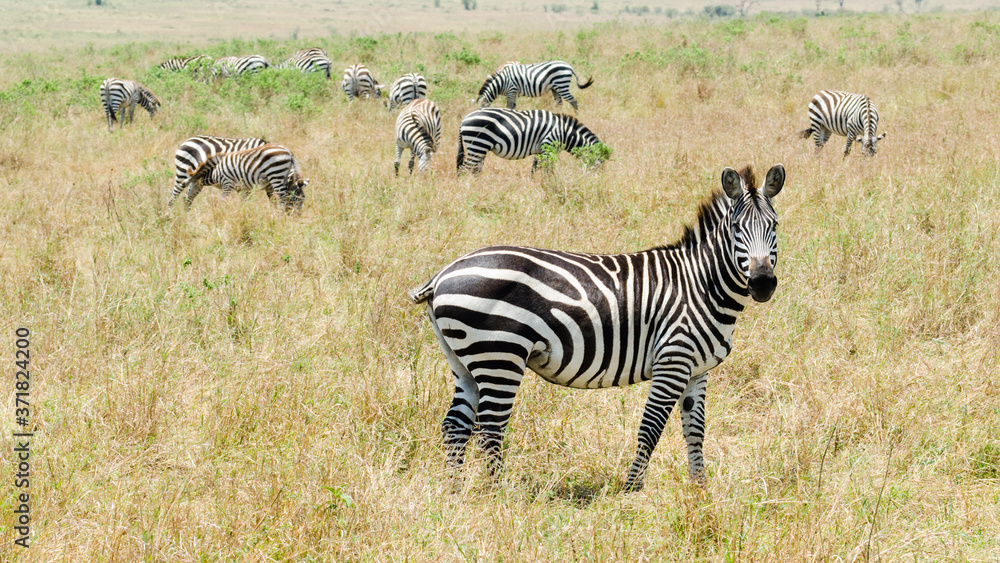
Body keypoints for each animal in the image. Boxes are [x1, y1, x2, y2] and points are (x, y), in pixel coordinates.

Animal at [410, 163, 786, 492]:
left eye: (775, 226)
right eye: (736, 227)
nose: (763, 283)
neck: (702, 283)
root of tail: (443, 274)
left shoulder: (697, 370)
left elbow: (695, 430)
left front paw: (699, 490)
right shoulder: (672, 361)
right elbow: (650, 428)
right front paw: (631, 490)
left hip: (464, 360)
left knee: (455, 425)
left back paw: (456, 491)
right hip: (500, 355)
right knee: (489, 426)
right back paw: (499, 494)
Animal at [456, 108, 604, 174]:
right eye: (598, 165)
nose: (597, 183)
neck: (564, 133)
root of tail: (464, 119)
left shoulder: (541, 150)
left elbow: (535, 168)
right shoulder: (549, 146)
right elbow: (548, 169)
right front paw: (550, 183)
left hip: (480, 148)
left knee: (474, 169)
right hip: (478, 145)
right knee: (464, 169)